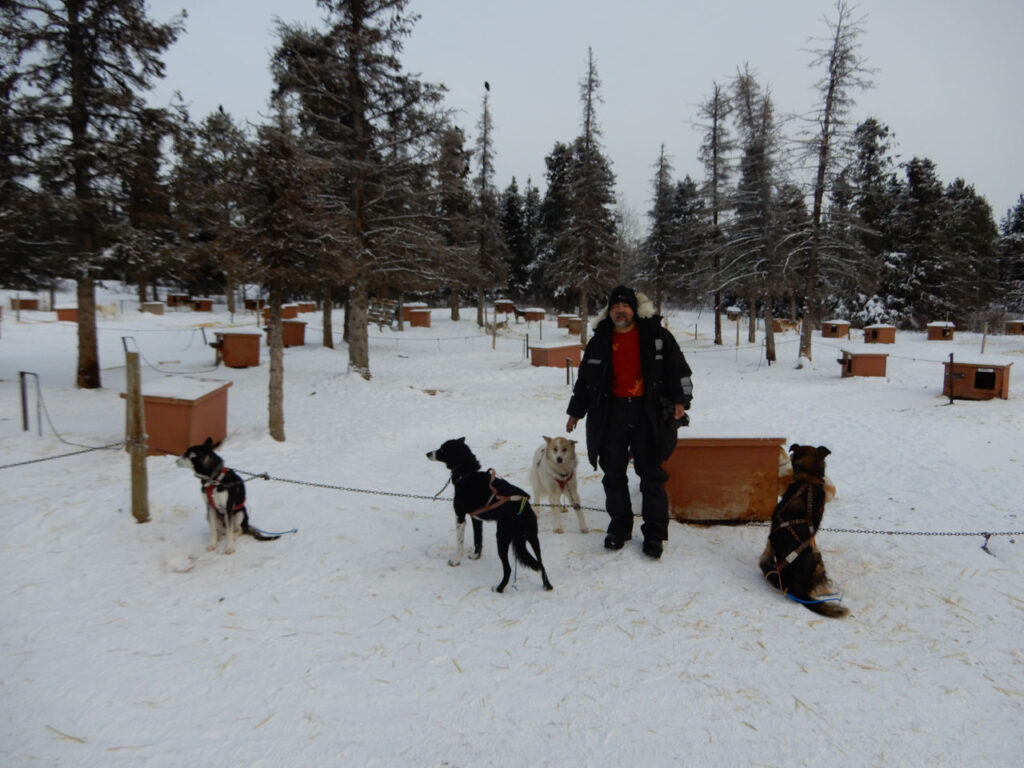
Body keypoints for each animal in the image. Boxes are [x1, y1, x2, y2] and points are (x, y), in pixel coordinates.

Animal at [425, 438, 552, 593]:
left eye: (442, 449)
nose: (428, 453)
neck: (467, 473)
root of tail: (523, 507)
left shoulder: (460, 517)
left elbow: (460, 543)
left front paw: (455, 561)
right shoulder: (476, 519)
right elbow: (478, 540)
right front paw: (475, 556)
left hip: (502, 538)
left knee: (508, 569)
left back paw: (499, 588)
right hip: (533, 538)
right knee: (542, 564)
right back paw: (547, 586)